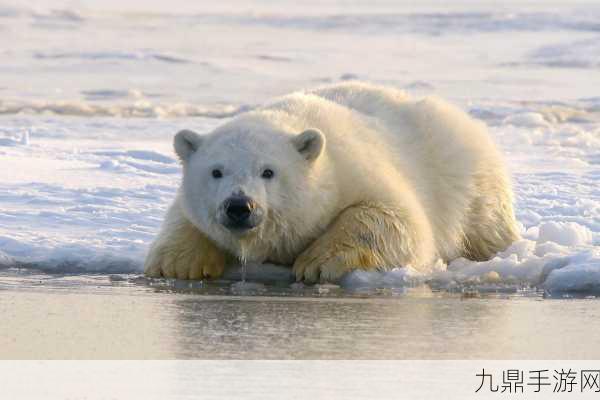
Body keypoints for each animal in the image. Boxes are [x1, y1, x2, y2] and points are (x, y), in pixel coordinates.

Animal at [145, 80, 520, 282]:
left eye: (268, 171)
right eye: (216, 171)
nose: (239, 206)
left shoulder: (355, 170)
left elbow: (396, 219)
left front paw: (316, 264)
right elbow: (183, 217)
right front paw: (179, 264)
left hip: (467, 178)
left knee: (485, 225)